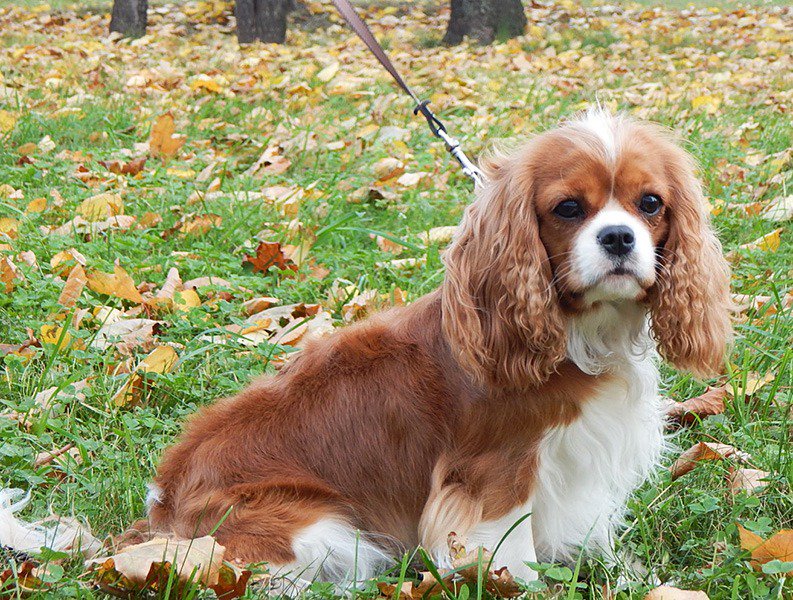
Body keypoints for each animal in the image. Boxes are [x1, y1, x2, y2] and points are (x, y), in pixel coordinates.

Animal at [141, 110, 732, 584]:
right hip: (319, 529)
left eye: (650, 203)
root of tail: (163, 510)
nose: (618, 237)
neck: (581, 333)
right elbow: (510, 548)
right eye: (567, 208)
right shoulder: (493, 472)